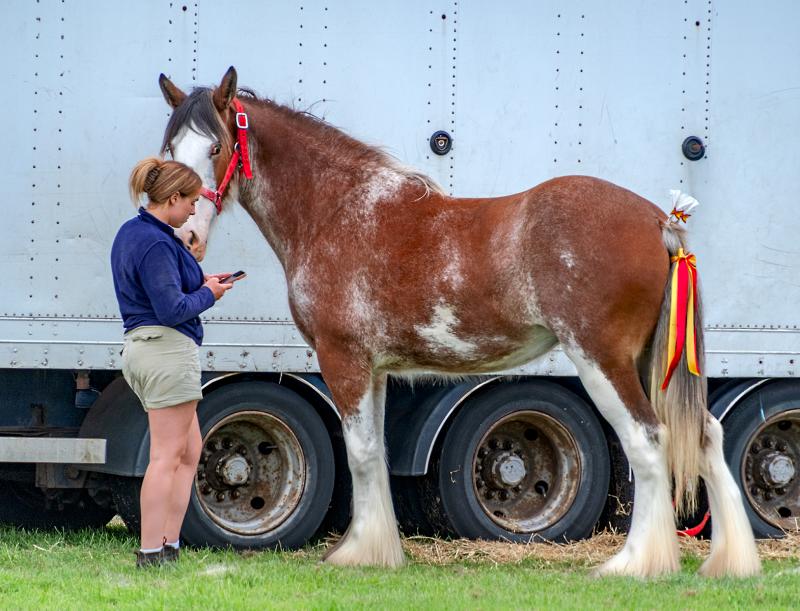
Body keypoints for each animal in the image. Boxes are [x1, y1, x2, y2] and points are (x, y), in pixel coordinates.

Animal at [157, 67, 761, 577]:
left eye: (215, 146)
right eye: (169, 148)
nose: (185, 235)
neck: (341, 212)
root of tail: (662, 221)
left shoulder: (342, 358)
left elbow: (360, 454)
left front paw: (359, 554)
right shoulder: (376, 371)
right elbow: (374, 453)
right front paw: (377, 550)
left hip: (602, 360)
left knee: (648, 440)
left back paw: (634, 564)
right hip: (651, 362)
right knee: (705, 434)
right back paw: (728, 564)